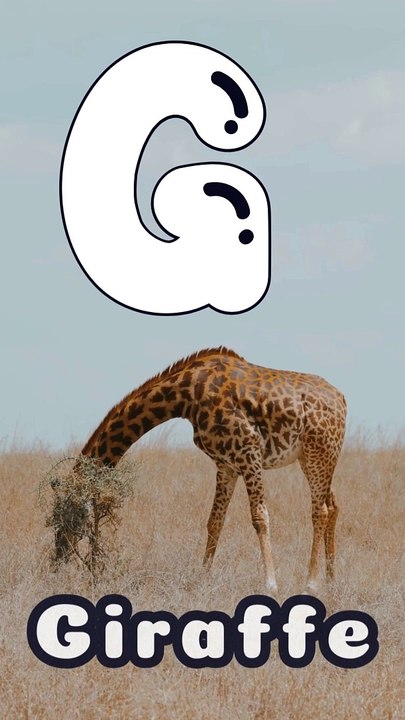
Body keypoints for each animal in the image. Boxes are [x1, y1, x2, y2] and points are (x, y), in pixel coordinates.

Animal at [54, 347, 346, 592]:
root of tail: (342, 400)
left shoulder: (249, 451)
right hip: (314, 458)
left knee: (319, 510)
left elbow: (259, 518)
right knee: (332, 505)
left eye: (67, 514)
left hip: (318, 452)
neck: (186, 397)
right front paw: (202, 578)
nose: (57, 558)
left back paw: (311, 583)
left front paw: (270, 585)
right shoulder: (227, 464)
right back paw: (331, 580)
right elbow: (214, 521)